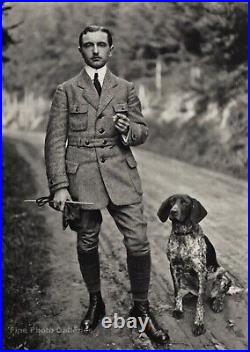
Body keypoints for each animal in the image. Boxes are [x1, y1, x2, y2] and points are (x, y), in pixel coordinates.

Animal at [157, 195, 231, 336]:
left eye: (185, 203)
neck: (182, 234)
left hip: (222, 273)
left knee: (219, 293)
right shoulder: (174, 267)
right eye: (171, 202)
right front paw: (178, 309)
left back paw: (217, 302)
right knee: (188, 292)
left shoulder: (201, 272)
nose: (173, 211)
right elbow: (177, 291)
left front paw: (198, 324)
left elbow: (200, 304)